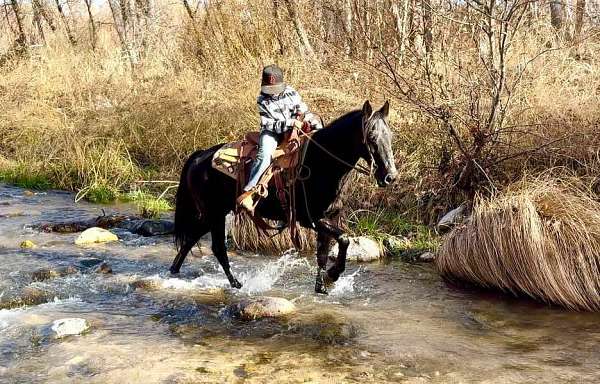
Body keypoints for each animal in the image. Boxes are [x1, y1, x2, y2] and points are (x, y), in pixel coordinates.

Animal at [168, 100, 398, 294]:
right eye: (371, 138)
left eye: (390, 136)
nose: (390, 177)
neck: (322, 163)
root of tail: (200, 156)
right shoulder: (312, 219)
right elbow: (344, 239)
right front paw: (333, 276)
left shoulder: (331, 217)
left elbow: (324, 253)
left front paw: (322, 286)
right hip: (214, 214)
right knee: (217, 248)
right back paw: (236, 284)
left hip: (213, 214)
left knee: (190, 240)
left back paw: (174, 272)